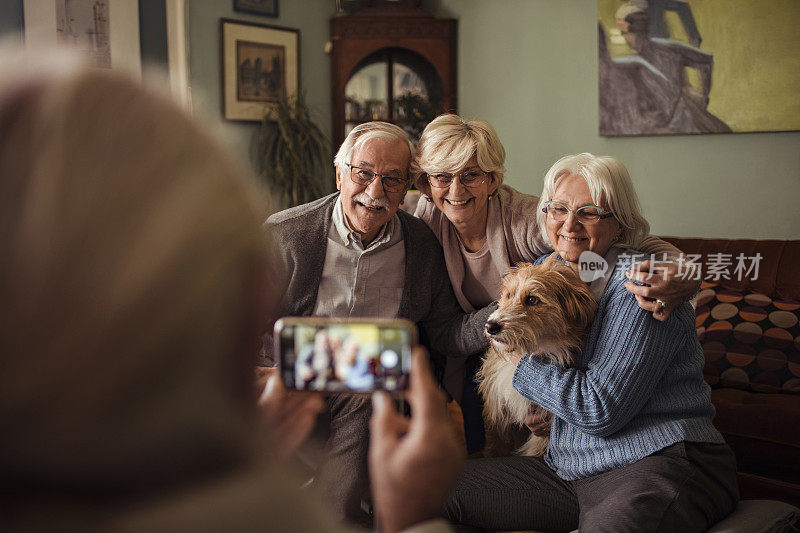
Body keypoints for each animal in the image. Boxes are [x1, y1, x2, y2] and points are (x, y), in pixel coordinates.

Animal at [472, 258, 596, 458]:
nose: (490, 326)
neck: (530, 352)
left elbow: (535, 449)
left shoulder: (543, 426)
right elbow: (495, 443)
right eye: (508, 295)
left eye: (532, 299)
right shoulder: (495, 409)